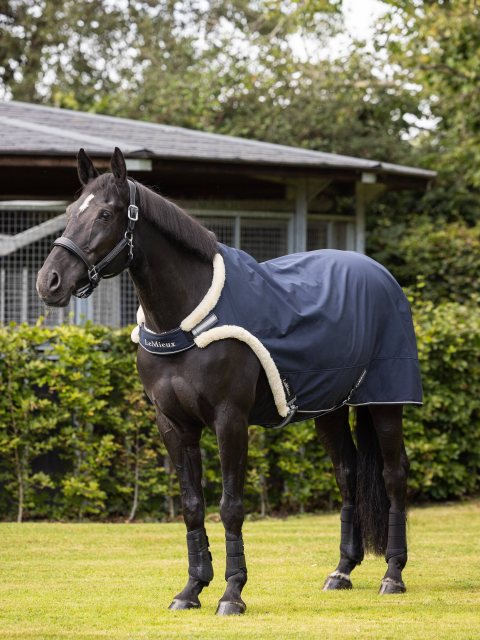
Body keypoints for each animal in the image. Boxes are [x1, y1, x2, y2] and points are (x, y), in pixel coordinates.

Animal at [37, 149, 420, 616]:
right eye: (71, 211)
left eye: (105, 214)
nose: (49, 282)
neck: (186, 322)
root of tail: (379, 274)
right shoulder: (174, 425)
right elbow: (192, 506)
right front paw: (190, 589)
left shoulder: (229, 420)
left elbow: (231, 506)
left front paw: (232, 593)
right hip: (327, 409)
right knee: (346, 473)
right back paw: (342, 571)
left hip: (385, 401)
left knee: (393, 474)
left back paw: (393, 575)